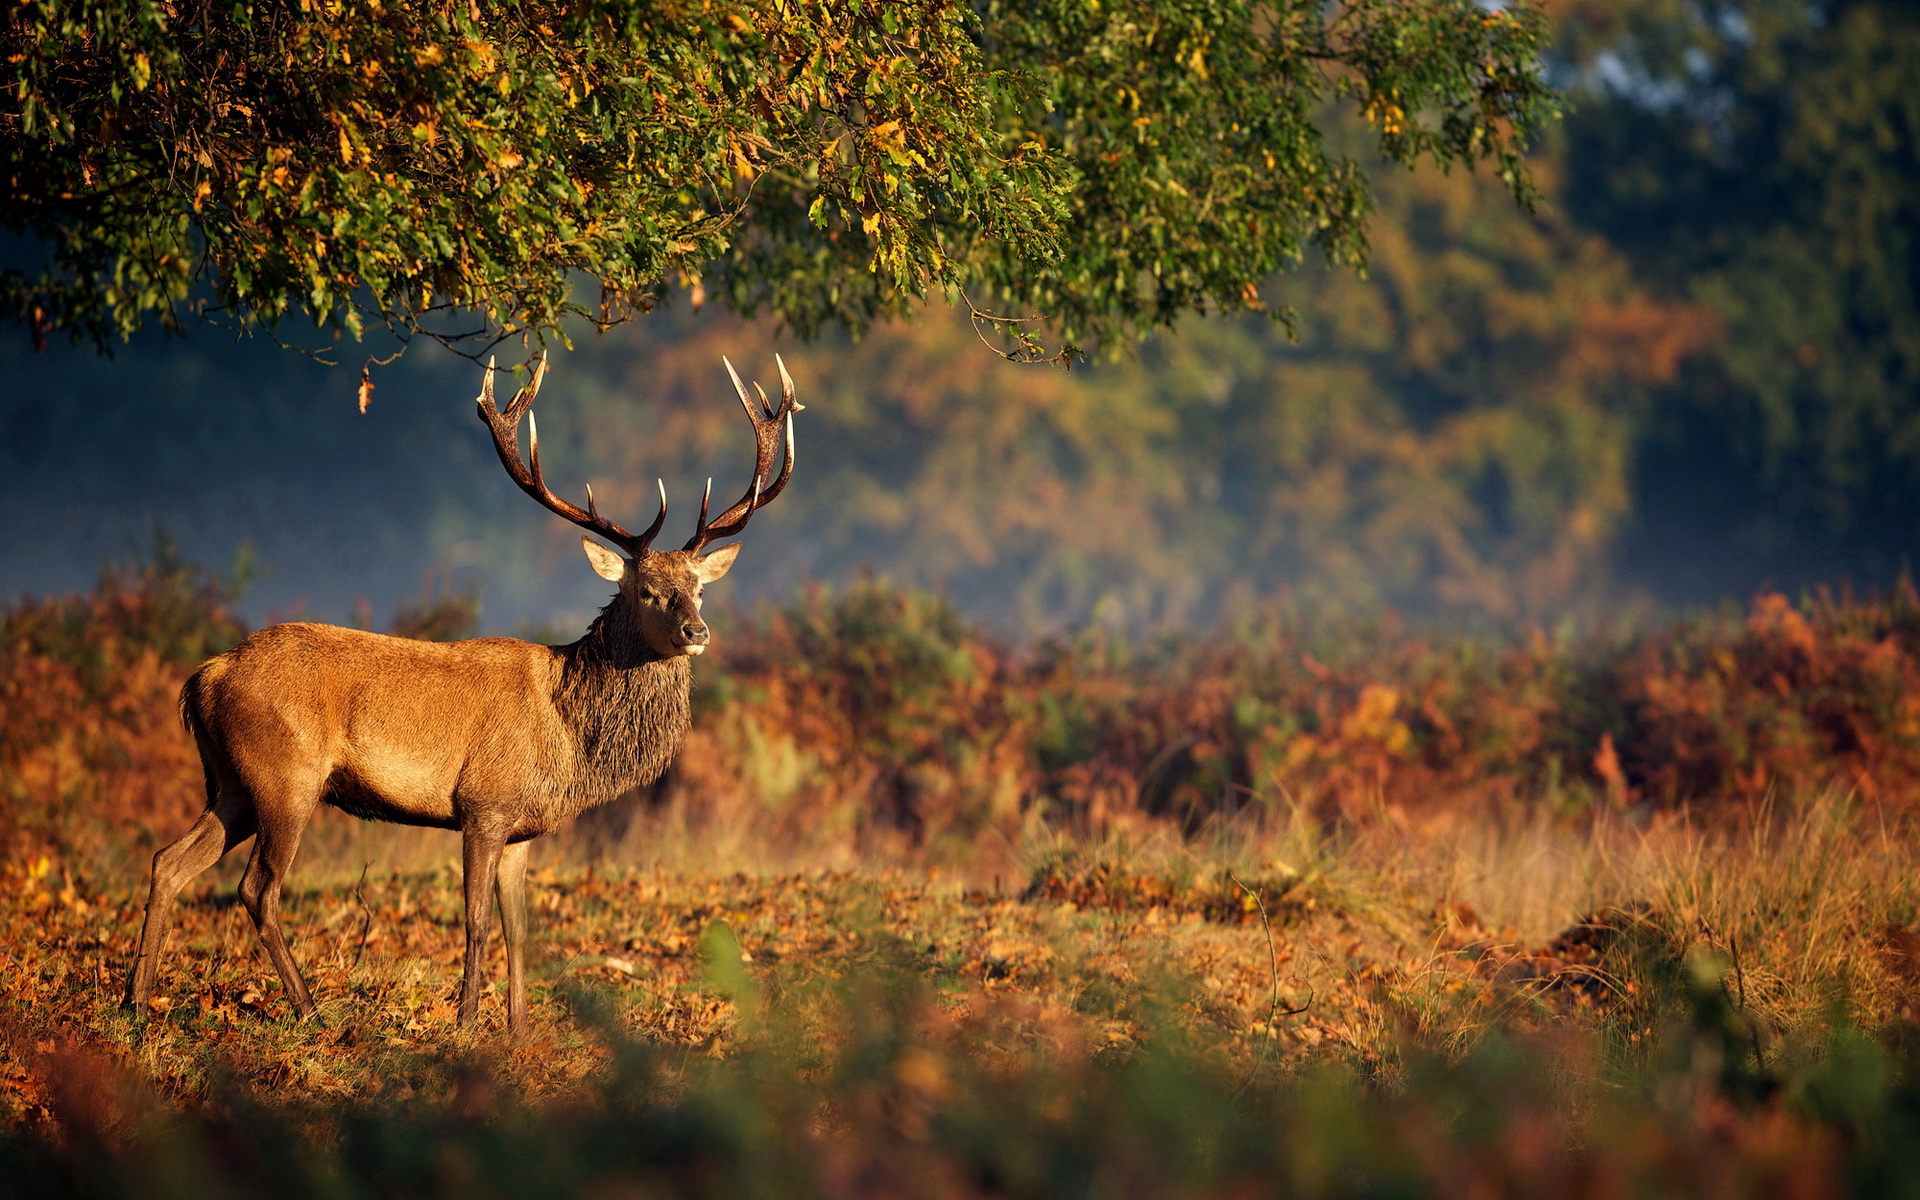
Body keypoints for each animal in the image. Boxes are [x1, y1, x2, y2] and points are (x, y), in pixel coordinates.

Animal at [125, 353, 802, 1029]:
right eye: (647, 590)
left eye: (700, 588)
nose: (697, 631)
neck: (569, 735)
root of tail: (205, 677)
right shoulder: (483, 805)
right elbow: (475, 922)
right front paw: (467, 1022)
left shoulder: (522, 829)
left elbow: (518, 930)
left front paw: (520, 1029)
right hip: (285, 775)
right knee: (257, 889)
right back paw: (309, 1009)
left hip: (232, 782)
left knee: (170, 861)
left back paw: (135, 1002)